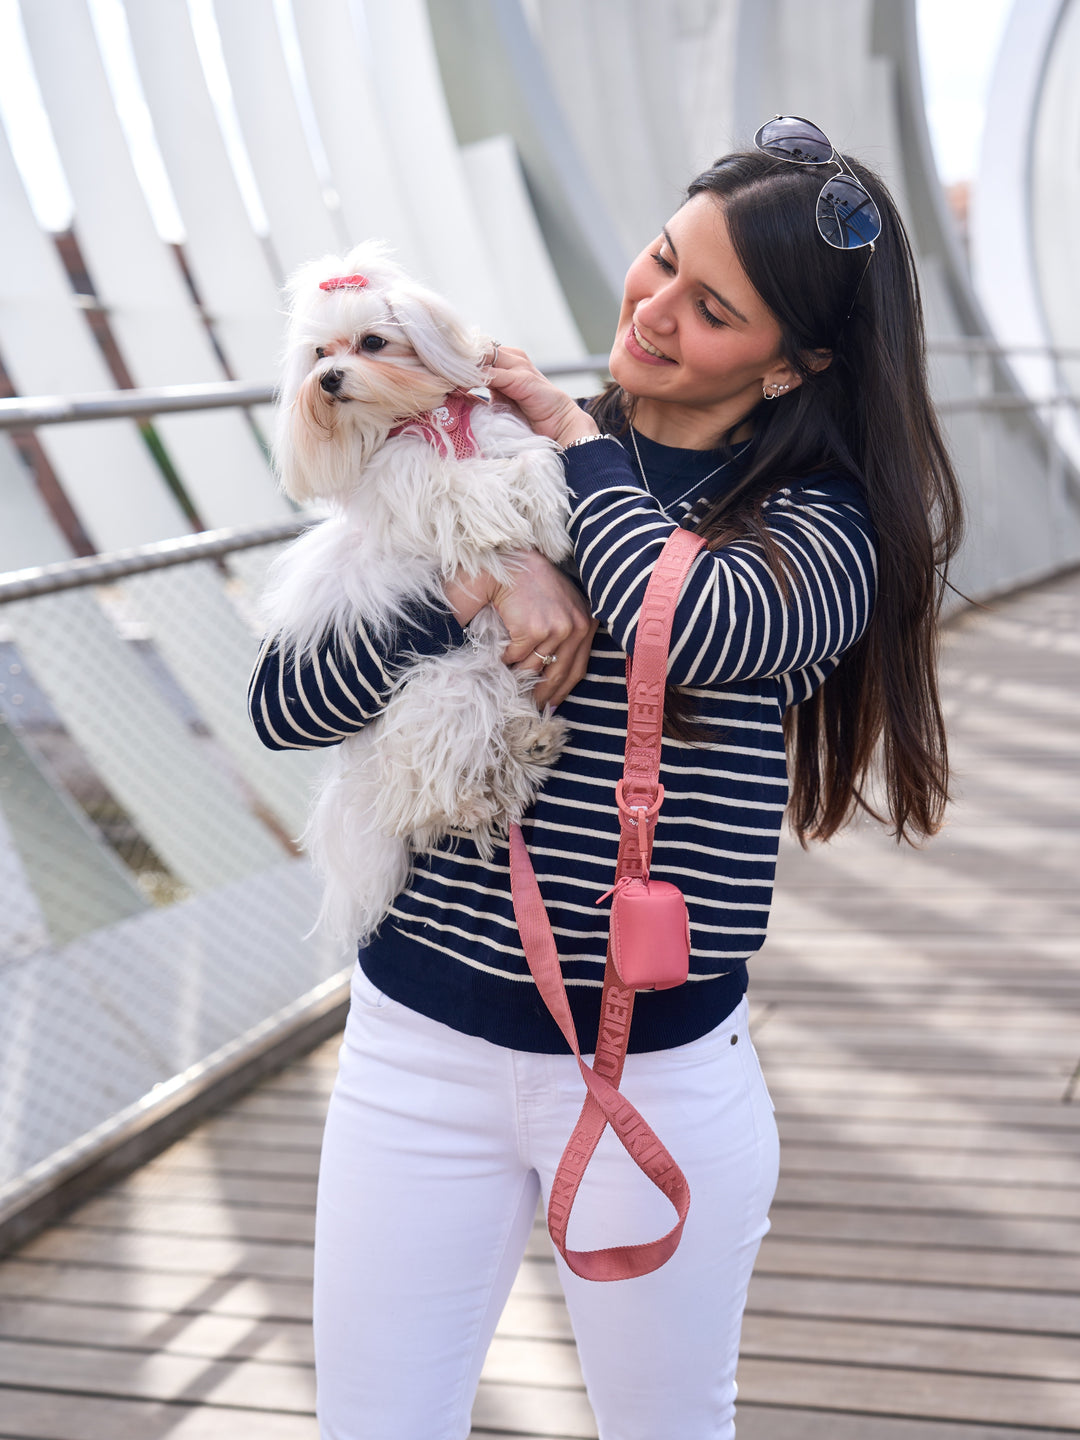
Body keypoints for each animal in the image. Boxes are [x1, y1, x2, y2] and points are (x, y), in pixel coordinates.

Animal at [263, 240, 576, 944]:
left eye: (373, 342)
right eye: (319, 354)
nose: (329, 380)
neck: (421, 416)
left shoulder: (498, 429)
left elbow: (531, 457)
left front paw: (545, 515)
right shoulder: (409, 480)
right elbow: (459, 489)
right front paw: (506, 515)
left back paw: (530, 745)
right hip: (448, 684)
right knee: (432, 793)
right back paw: (476, 792)